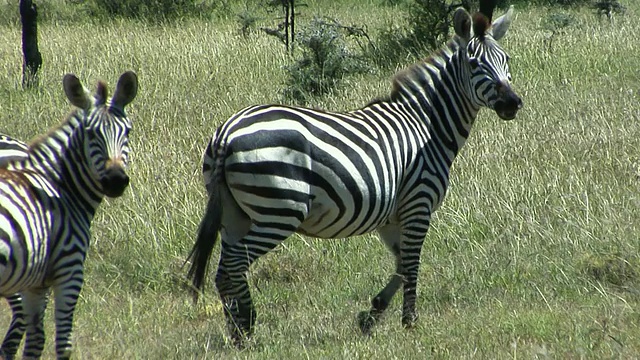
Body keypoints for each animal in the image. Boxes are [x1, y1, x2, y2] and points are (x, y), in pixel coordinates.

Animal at [0, 71, 139, 358]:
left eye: (128, 132)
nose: (115, 180)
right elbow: (63, 343)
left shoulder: (35, 281)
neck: (60, 186)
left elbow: (36, 341)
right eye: (91, 134)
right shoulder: (70, 271)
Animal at [185, 2, 520, 346]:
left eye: (507, 60)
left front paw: (372, 315)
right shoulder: (419, 203)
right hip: (279, 210)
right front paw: (410, 323)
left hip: (234, 213)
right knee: (234, 264)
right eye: (474, 64)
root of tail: (227, 133)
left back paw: (239, 329)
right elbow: (412, 264)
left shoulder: (391, 217)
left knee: (226, 269)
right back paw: (246, 329)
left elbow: (401, 265)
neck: (427, 125)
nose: (513, 103)